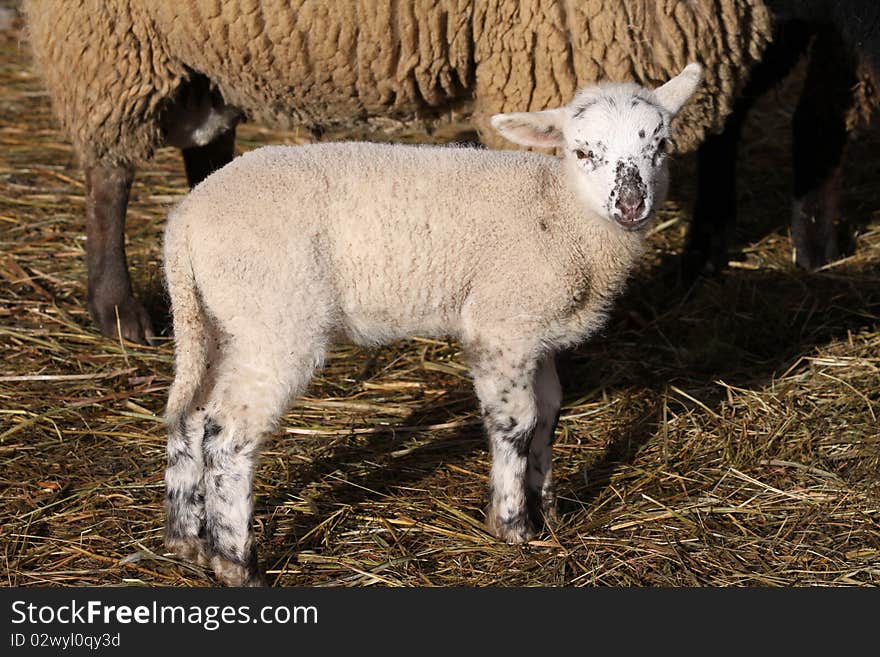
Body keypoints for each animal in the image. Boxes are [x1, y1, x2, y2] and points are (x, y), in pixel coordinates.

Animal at [163, 61, 700, 584]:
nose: (630, 205)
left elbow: (550, 412)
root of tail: (184, 222)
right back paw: (237, 565)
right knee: (228, 437)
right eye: (584, 151)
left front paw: (548, 510)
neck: (566, 214)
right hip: (274, 318)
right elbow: (518, 421)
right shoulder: (500, 325)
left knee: (191, 417)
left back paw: (187, 541)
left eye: (661, 145)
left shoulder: (537, 331)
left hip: (217, 321)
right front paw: (513, 526)